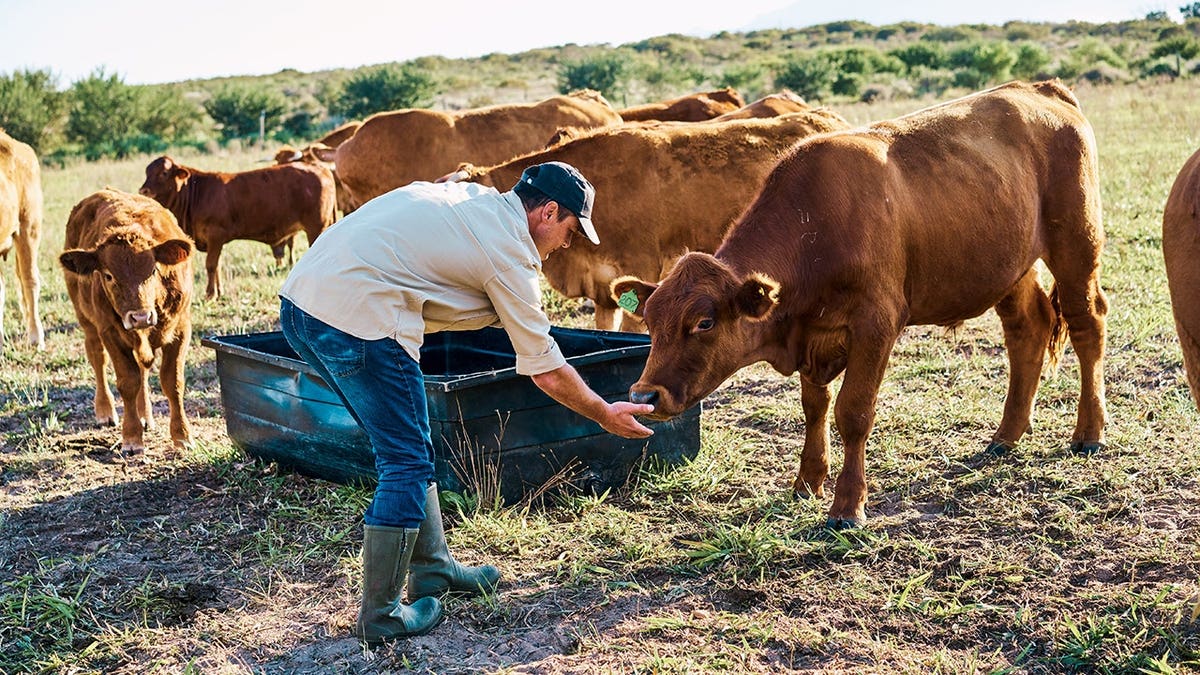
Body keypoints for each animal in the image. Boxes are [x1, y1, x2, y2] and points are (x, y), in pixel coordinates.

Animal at [59, 189, 194, 452]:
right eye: (109, 276)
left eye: (153, 270)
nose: (140, 316)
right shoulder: (110, 332)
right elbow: (128, 382)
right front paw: (132, 437)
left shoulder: (181, 328)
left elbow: (172, 382)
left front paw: (182, 435)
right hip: (87, 321)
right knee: (97, 358)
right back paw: (105, 410)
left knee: (143, 368)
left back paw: (145, 415)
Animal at [139, 155, 336, 300]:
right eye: (147, 171)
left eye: (164, 173)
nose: (143, 191)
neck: (197, 195)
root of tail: (320, 168)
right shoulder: (214, 242)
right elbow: (217, 266)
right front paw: (218, 292)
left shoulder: (215, 236)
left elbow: (211, 265)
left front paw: (209, 294)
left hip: (316, 227)